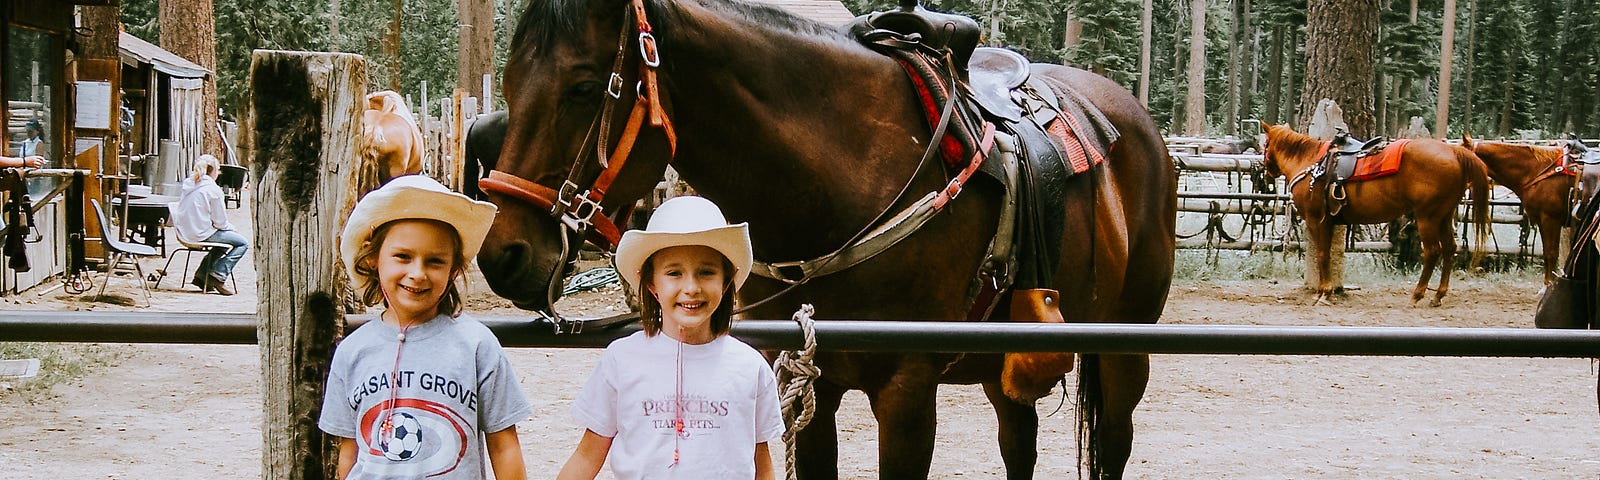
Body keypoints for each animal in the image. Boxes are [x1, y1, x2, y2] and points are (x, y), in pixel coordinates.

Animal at [473, 0, 1177, 476]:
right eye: (506, 83)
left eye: (584, 86)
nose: (504, 254)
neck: (847, 174)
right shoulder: (808, 376)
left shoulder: (906, 393)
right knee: (1018, 442)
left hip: (1125, 352)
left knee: (1114, 445)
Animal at [1260, 123, 1497, 304]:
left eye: (1265, 144)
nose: (1267, 169)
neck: (1310, 163)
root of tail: (1454, 152)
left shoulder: (1317, 220)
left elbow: (1322, 254)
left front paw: (1324, 293)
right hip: (1444, 216)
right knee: (1449, 250)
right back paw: (1438, 296)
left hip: (1427, 217)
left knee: (1432, 252)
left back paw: (1417, 294)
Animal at [1465, 134, 1580, 284]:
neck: (1536, 170)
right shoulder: (1542, 220)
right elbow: (1547, 253)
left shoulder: (1551, 219)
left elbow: (1552, 253)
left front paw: (1549, 285)